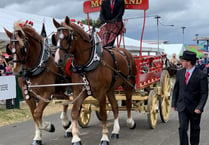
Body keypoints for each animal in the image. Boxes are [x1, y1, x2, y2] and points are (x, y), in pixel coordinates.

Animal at [51, 16, 137, 145]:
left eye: (67, 36)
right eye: (55, 38)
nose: (57, 60)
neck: (87, 63)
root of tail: (126, 52)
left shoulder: (101, 93)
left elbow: (103, 113)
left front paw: (104, 137)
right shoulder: (79, 91)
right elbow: (75, 112)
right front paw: (75, 138)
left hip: (128, 85)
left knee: (128, 103)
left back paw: (130, 122)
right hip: (110, 90)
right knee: (115, 107)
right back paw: (115, 131)